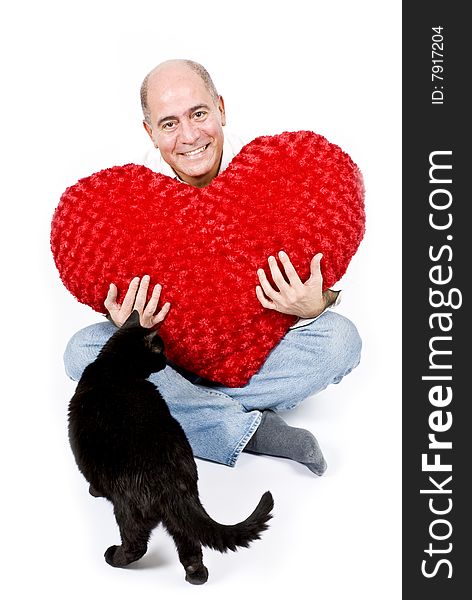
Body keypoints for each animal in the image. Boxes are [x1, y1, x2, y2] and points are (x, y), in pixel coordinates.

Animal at [66, 312, 272, 584]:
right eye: (161, 350)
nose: (167, 361)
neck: (115, 368)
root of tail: (175, 481)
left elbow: (92, 479)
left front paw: (94, 491)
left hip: (129, 509)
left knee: (136, 545)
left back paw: (114, 557)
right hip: (178, 515)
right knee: (189, 541)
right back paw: (196, 575)